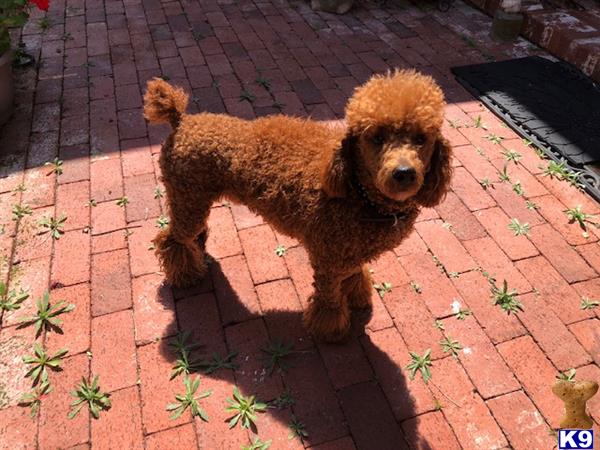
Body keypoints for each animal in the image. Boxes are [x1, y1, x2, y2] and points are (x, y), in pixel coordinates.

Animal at [144, 71, 450, 342]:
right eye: (376, 137)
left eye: (421, 138)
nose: (404, 173)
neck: (357, 192)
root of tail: (181, 120)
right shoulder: (327, 258)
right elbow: (328, 298)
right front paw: (331, 330)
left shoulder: (350, 252)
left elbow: (353, 273)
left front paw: (357, 293)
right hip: (187, 197)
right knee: (171, 239)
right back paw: (185, 274)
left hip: (192, 197)